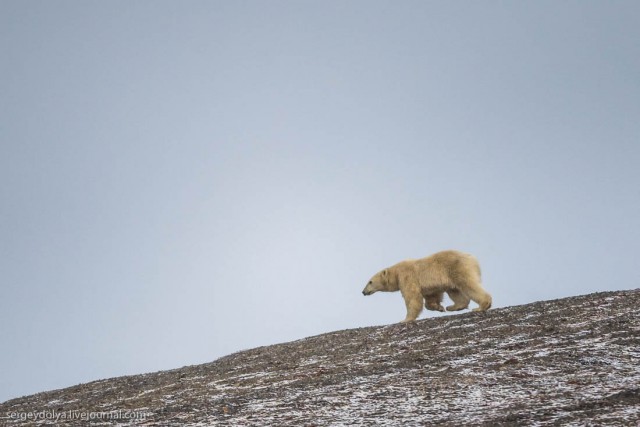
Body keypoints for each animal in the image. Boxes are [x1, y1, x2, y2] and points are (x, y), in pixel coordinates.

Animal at [362, 249, 492, 322]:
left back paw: (481, 306)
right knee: (454, 291)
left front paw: (405, 320)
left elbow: (412, 297)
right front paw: (439, 307)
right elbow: (431, 296)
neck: (396, 272)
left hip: (457, 268)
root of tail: (473, 259)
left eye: (370, 282)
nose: (363, 292)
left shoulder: (407, 277)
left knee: (468, 285)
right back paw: (453, 307)